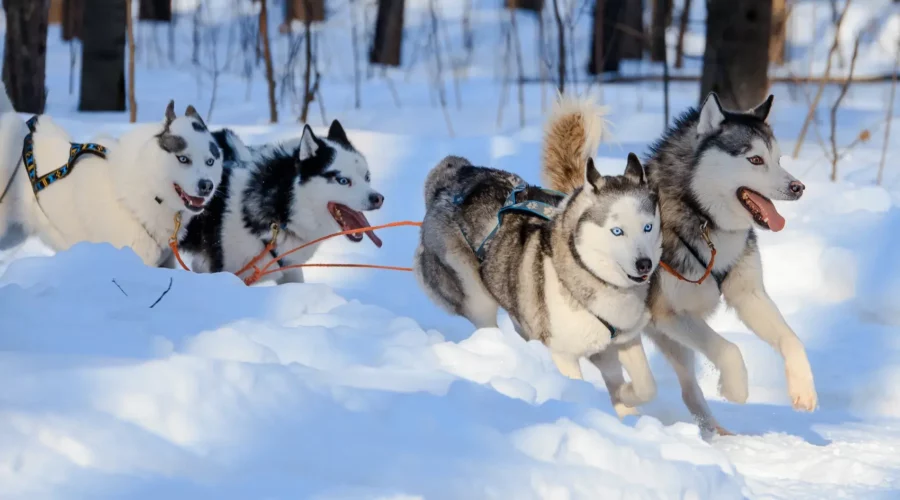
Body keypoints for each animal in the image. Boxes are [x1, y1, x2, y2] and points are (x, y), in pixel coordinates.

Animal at [414, 96, 660, 414]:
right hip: (474, 296)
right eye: (617, 231)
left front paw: (626, 401)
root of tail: (452, 177)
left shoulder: (625, 339)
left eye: (647, 227)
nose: (644, 264)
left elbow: (646, 387)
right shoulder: (564, 353)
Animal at [540, 92, 816, 436]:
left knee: (689, 390)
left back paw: (716, 433)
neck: (701, 218)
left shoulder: (748, 295)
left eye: (778, 160)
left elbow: (791, 340)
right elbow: (729, 349)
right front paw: (736, 388)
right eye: (755, 160)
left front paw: (804, 389)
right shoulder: (667, 314)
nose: (798, 187)